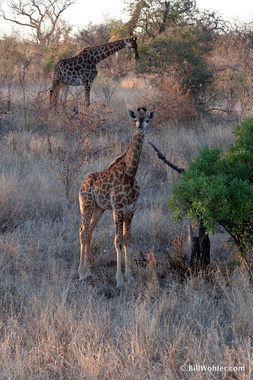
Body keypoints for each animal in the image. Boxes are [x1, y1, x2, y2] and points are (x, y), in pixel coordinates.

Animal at [78, 105, 156, 286]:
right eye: (135, 119)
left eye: (147, 119)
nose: (140, 127)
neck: (130, 174)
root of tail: (82, 184)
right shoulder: (118, 209)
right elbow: (118, 241)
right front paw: (119, 280)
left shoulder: (131, 209)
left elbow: (127, 239)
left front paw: (130, 277)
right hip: (87, 205)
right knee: (83, 231)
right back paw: (82, 273)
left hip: (99, 208)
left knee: (89, 231)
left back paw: (88, 271)